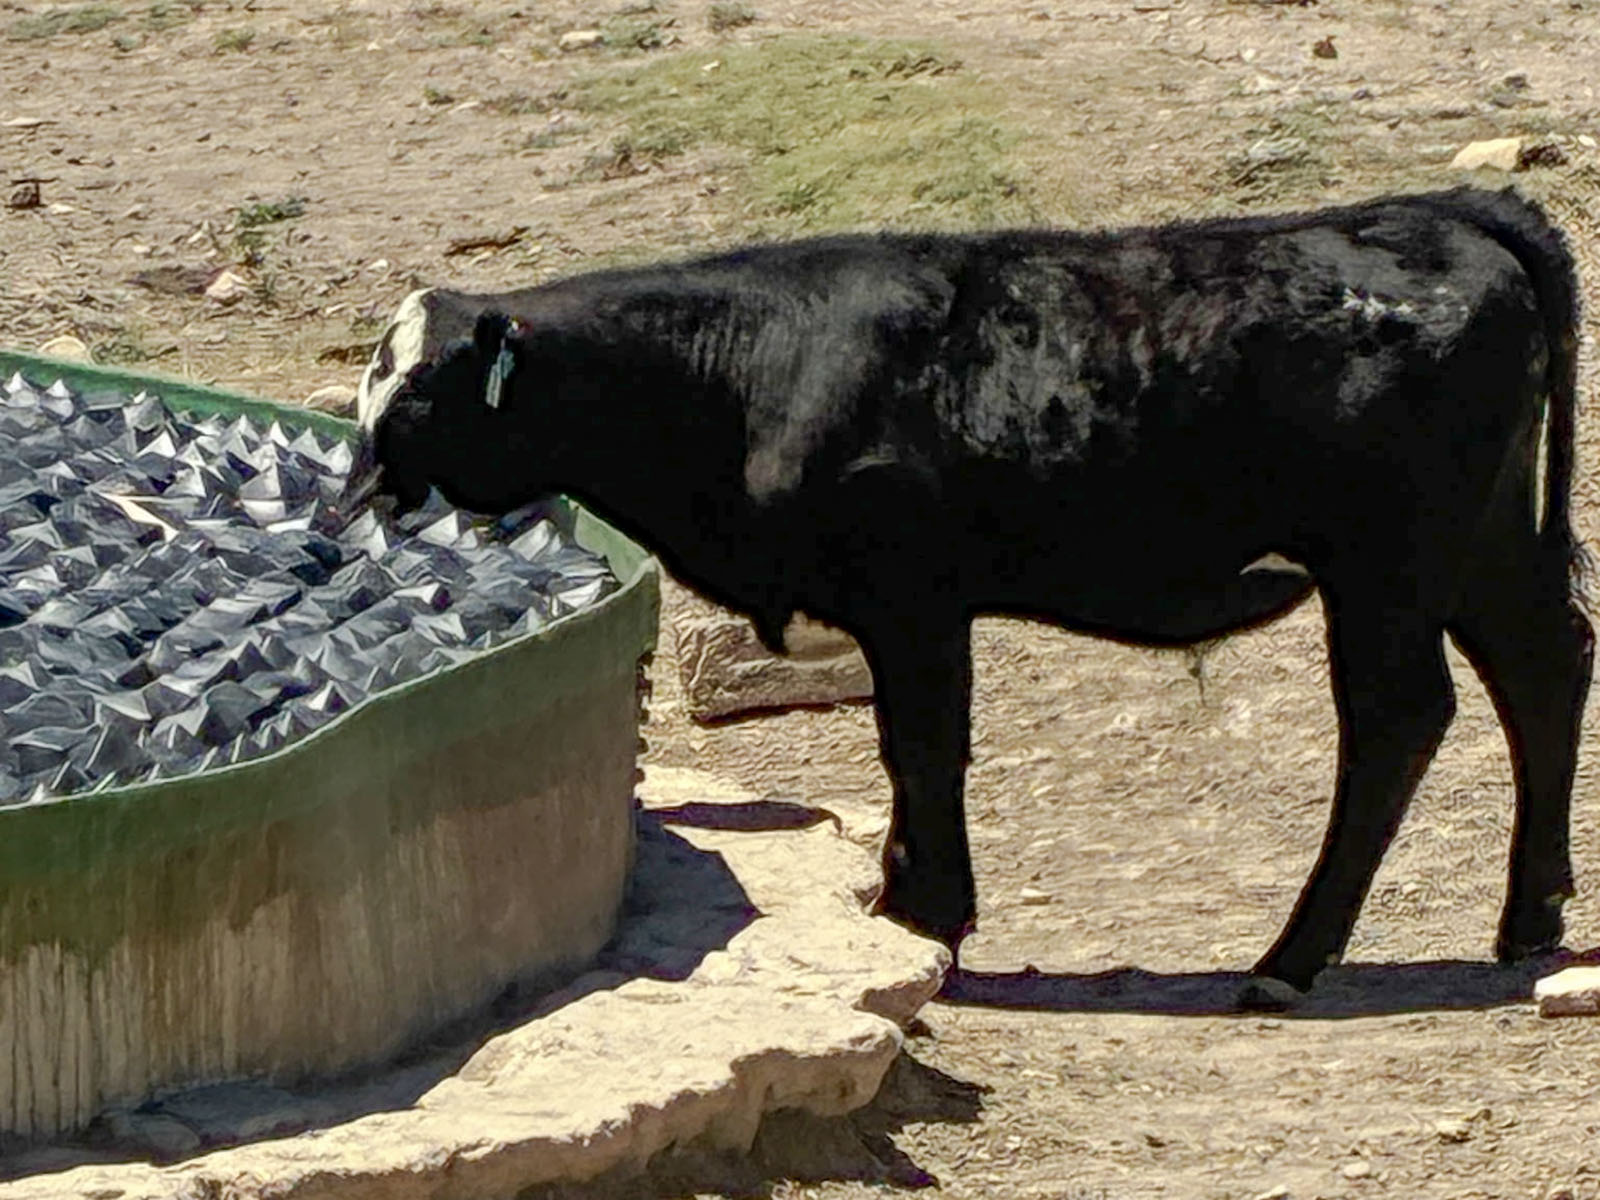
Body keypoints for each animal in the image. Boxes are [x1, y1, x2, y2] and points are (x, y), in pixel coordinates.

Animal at [348, 187, 1592, 1006]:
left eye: (418, 393)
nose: (356, 487)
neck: (749, 368)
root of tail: (1441, 212)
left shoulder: (912, 601)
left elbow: (921, 750)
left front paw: (926, 917)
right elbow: (909, 756)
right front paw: (905, 908)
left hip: (1387, 563)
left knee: (1398, 718)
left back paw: (1292, 959)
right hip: (1478, 546)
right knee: (1545, 664)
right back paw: (1528, 916)